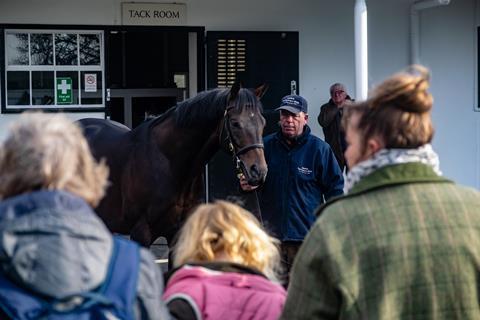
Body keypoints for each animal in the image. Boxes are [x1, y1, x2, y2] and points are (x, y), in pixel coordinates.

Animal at [77, 84, 268, 246]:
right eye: (235, 123)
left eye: (263, 122)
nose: (258, 171)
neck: (169, 162)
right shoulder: (140, 232)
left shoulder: (178, 233)